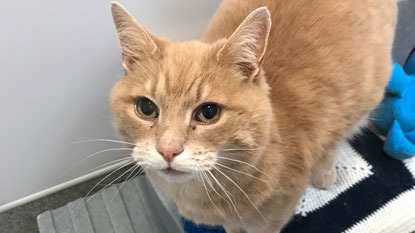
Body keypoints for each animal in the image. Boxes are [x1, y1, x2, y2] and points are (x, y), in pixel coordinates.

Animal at [109, 0, 398, 232]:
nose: (168, 150)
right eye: (146, 108)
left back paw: (324, 173)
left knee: (337, 136)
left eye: (209, 112)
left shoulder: (269, 223)